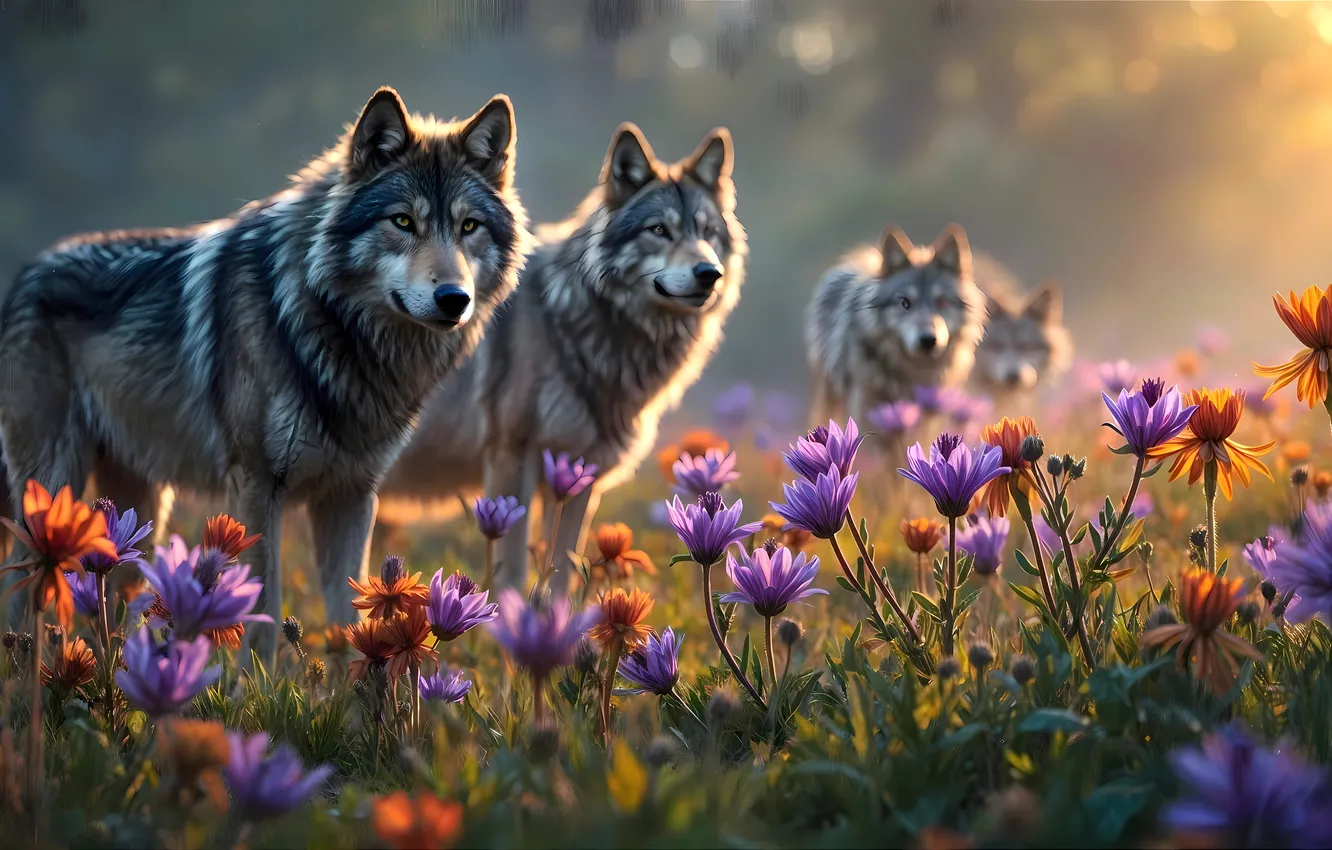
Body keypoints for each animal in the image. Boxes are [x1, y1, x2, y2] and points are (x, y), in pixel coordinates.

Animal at [0, 87, 529, 663]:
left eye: (468, 227)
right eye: (403, 221)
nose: (454, 299)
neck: (334, 330)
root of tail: (26, 275)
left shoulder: (352, 496)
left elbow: (354, 623)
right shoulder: (257, 486)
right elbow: (263, 619)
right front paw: (253, 684)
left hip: (137, 509)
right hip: (56, 489)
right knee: (22, 601)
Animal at [378, 122, 746, 590]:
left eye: (708, 232)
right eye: (659, 230)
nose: (709, 273)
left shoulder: (578, 479)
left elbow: (561, 573)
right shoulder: (511, 462)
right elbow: (514, 573)